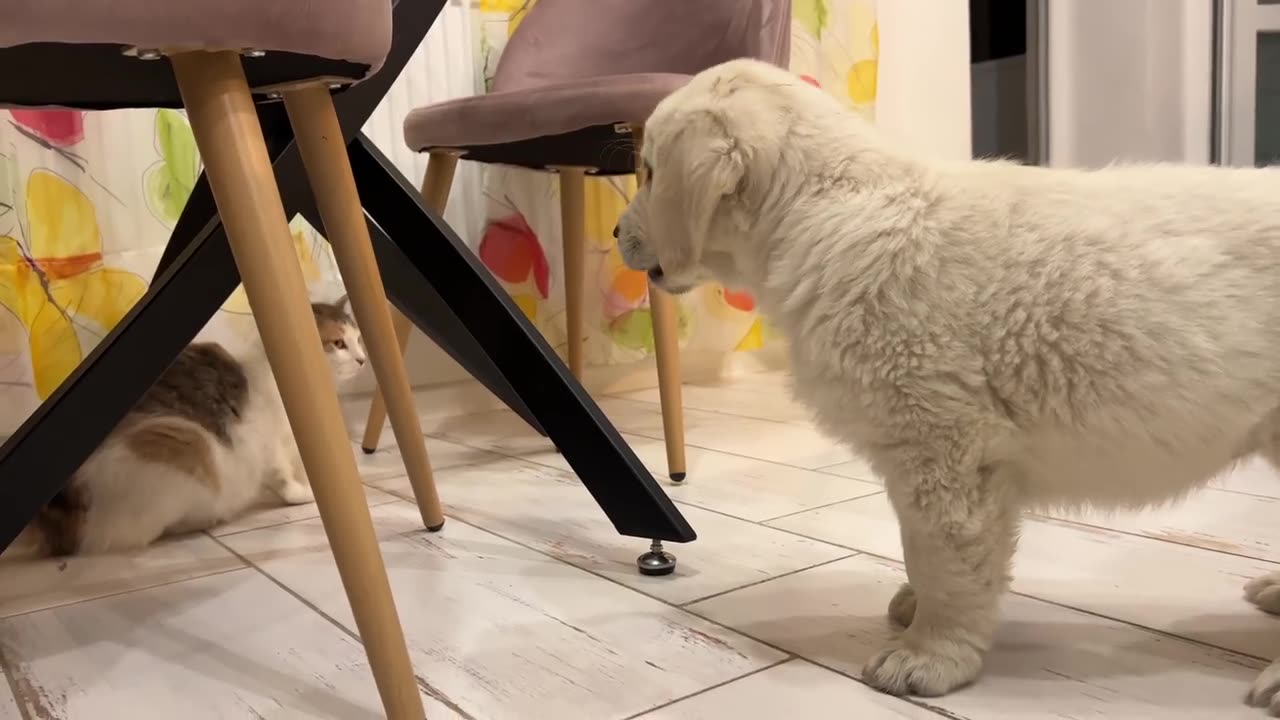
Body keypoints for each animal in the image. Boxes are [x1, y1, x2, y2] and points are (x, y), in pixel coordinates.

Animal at [3, 295, 366, 556]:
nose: (363, 360)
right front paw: (302, 495)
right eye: (338, 344)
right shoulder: (268, 442)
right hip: (185, 443)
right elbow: (283, 476)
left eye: (359, 339)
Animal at [619, 58, 1280, 707]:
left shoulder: (944, 448)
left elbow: (942, 558)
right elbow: (930, 550)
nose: (617, 234)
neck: (819, 209)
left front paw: (927, 655)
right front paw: (916, 611)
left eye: (649, 172)